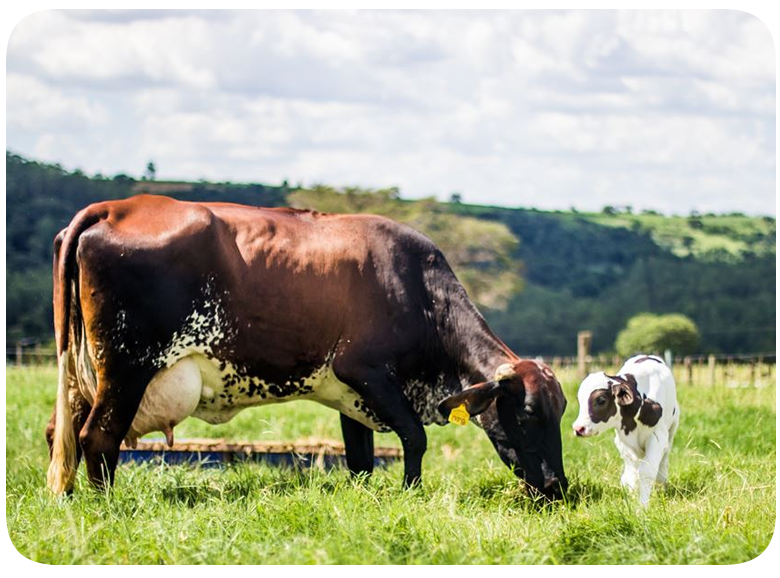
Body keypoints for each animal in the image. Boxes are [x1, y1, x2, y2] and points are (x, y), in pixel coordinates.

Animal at [45, 194, 568, 498]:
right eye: (526, 416)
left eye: (560, 413)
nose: (557, 486)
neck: (418, 289)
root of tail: (115, 206)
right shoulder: (368, 372)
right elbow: (415, 438)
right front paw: (410, 494)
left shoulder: (352, 395)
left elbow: (361, 459)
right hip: (126, 369)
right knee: (98, 438)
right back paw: (106, 506)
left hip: (83, 375)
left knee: (59, 434)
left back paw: (69, 499)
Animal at [572, 354, 680, 507]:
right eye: (579, 400)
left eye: (601, 399)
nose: (578, 428)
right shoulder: (624, 441)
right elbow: (632, 474)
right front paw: (632, 498)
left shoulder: (657, 437)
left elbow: (647, 472)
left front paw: (642, 506)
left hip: (672, 428)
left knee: (663, 461)